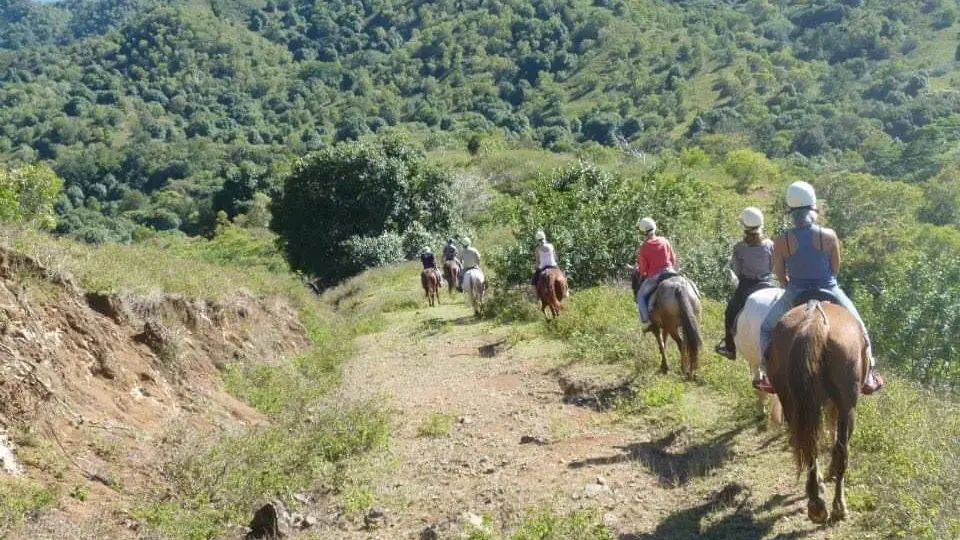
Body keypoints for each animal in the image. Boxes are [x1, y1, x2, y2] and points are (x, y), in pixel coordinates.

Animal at [768, 300, 868, 524]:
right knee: (842, 452)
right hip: (848, 405)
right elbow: (837, 442)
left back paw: (816, 502)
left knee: (807, 445)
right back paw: (838, 507)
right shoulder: (842, 407)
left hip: (791, 402)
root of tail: (813, 323)